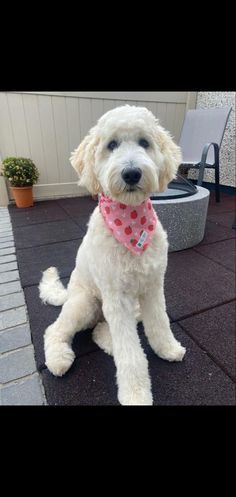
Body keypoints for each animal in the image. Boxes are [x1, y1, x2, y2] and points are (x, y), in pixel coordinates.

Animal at [39, 103, 186, 404]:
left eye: (144, 143)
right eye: (111, 145)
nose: (131, 173)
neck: (130, 224)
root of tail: (68, 294)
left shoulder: (153, 288)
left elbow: (160, 323)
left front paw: (167, 348)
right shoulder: (117, 298)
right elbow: (130, 353)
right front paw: (136, 394)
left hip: (128, 308)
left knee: (101, 330)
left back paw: (108, 344)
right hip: (86, 303)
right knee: (56, 329)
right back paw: (59, 358)